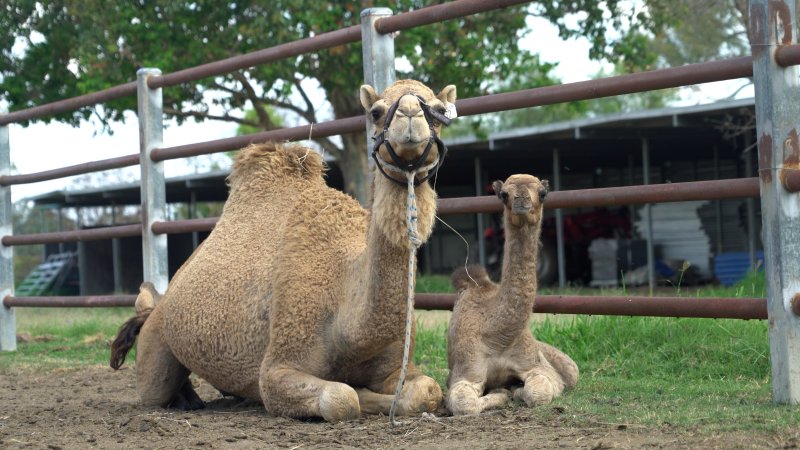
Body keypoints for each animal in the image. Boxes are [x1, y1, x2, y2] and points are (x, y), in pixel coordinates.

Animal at [110, 79, 457, 422]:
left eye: (440, 110)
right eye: (375, 111)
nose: (410, 114)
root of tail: (159, 303)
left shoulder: (394, 367)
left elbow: (427, 390)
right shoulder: (279, 365)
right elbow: (341, 397)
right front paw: (357, 392)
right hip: (157, 347)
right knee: (157, 387)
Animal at [445, 174, 579, 415]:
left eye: (543, 193)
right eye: (503, 194)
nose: (522, 199)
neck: (497, 335)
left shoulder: (536, 365)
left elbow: (539, 392)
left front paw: (515, 390)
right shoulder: (466, 372)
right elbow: (464, 403)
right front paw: (503, 392)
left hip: (568, 365)